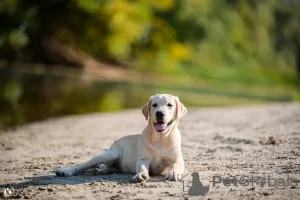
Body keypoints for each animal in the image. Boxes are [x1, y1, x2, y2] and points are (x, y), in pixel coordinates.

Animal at [55, 94, 186, 181]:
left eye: (169, 105)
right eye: (154, 105)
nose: (159, 113)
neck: (161, 138)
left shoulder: (177, 160)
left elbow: (176, 166)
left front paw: (173, 173)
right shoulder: (143, 159)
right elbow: (142, 167)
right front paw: (141, 175)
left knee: (110, 167)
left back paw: (100, 169)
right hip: (110, 155)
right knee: (84, 165)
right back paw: (65, 171)